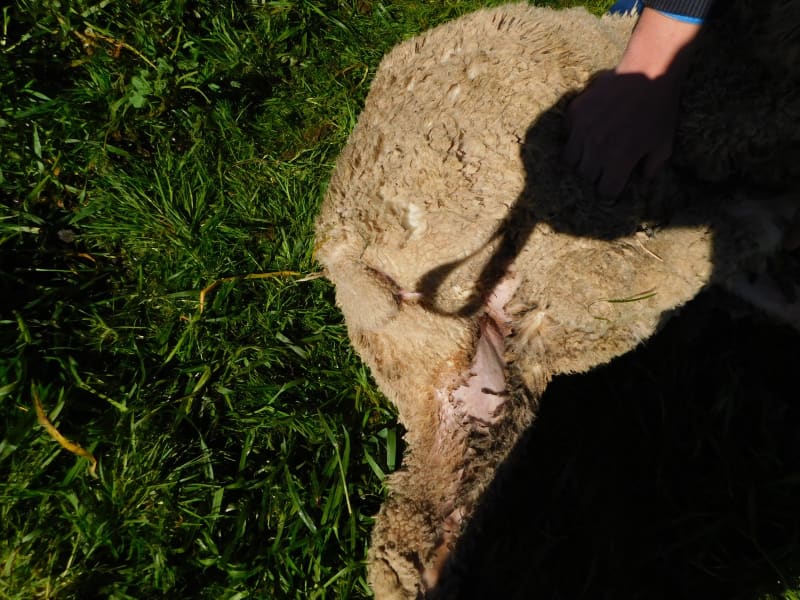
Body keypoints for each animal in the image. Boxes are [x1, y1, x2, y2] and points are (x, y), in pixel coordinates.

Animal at [314, 3, 800, 598]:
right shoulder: (721, 112)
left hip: (448, 363)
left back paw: (419, 568)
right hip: (554, 201)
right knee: (655, 273)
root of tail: (345, 248)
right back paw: (762, 227)